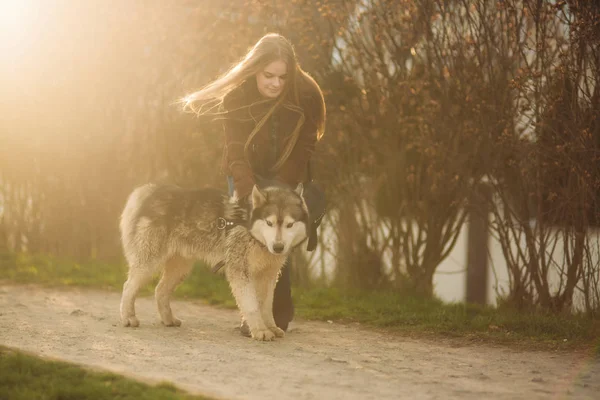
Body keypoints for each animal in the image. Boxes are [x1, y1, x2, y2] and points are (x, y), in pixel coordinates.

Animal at [118, 182, 310, 340]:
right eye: (269, 223)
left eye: (289, 225)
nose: (278, 247)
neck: (252, 232)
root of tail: (150, 190)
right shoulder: (239, 272)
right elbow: (252, 305)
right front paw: (260, 330)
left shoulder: (269, 276)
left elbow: (266, 306)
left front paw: (271, 327)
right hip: (148, 263)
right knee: (128, 287)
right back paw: (128, 317)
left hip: (180, 269)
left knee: (159, 290)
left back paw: (168, 319)